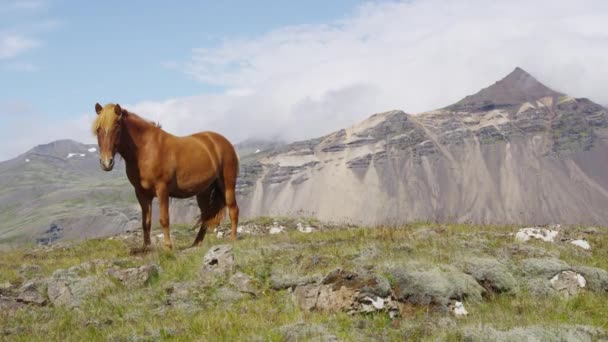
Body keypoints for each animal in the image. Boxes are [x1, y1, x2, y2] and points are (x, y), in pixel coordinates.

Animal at [92, 101, 240, 248]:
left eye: (116, 128)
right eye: (98, 129)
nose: (106, 163)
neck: (145, 150)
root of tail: (223, 142)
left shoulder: (162, 189)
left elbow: (164, 219)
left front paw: (168, 246)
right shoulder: (141, 194)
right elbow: (146, 222)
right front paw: (146, 248)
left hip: (227, 184)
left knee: (233, 209)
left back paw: (233, 239)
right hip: (204, 190)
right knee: (206, 215)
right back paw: (196, 243)